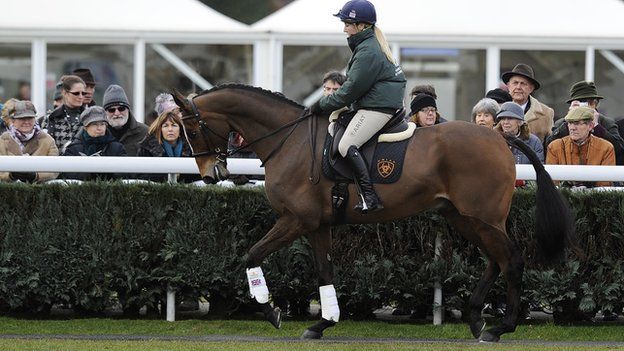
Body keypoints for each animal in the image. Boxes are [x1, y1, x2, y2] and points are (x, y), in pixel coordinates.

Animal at [173, 84, 576, 342]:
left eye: (190, 126)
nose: (209, 174)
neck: (290, 141)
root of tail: (498, 136)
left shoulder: (295, 220)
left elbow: (252, 254)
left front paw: (270, 310)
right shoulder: (317, 225)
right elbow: (324, 271)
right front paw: (323, 323)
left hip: (481, 217)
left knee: (512, 260)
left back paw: (499, 327)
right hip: (466, 217)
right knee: (496, 260)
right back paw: (477, 317)